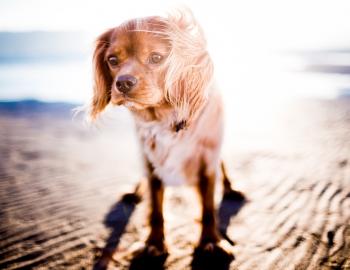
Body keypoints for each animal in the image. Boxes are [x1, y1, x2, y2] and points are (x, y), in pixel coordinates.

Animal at [90, 8, 243, 258]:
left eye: (156, 58)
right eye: (112, 60)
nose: (122, 83)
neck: (166, 117)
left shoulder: (207, 160)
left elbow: (208, 207)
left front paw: (211, 241)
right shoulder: (150, 160)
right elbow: (155, 208)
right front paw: (153, 243)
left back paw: (231, 188)